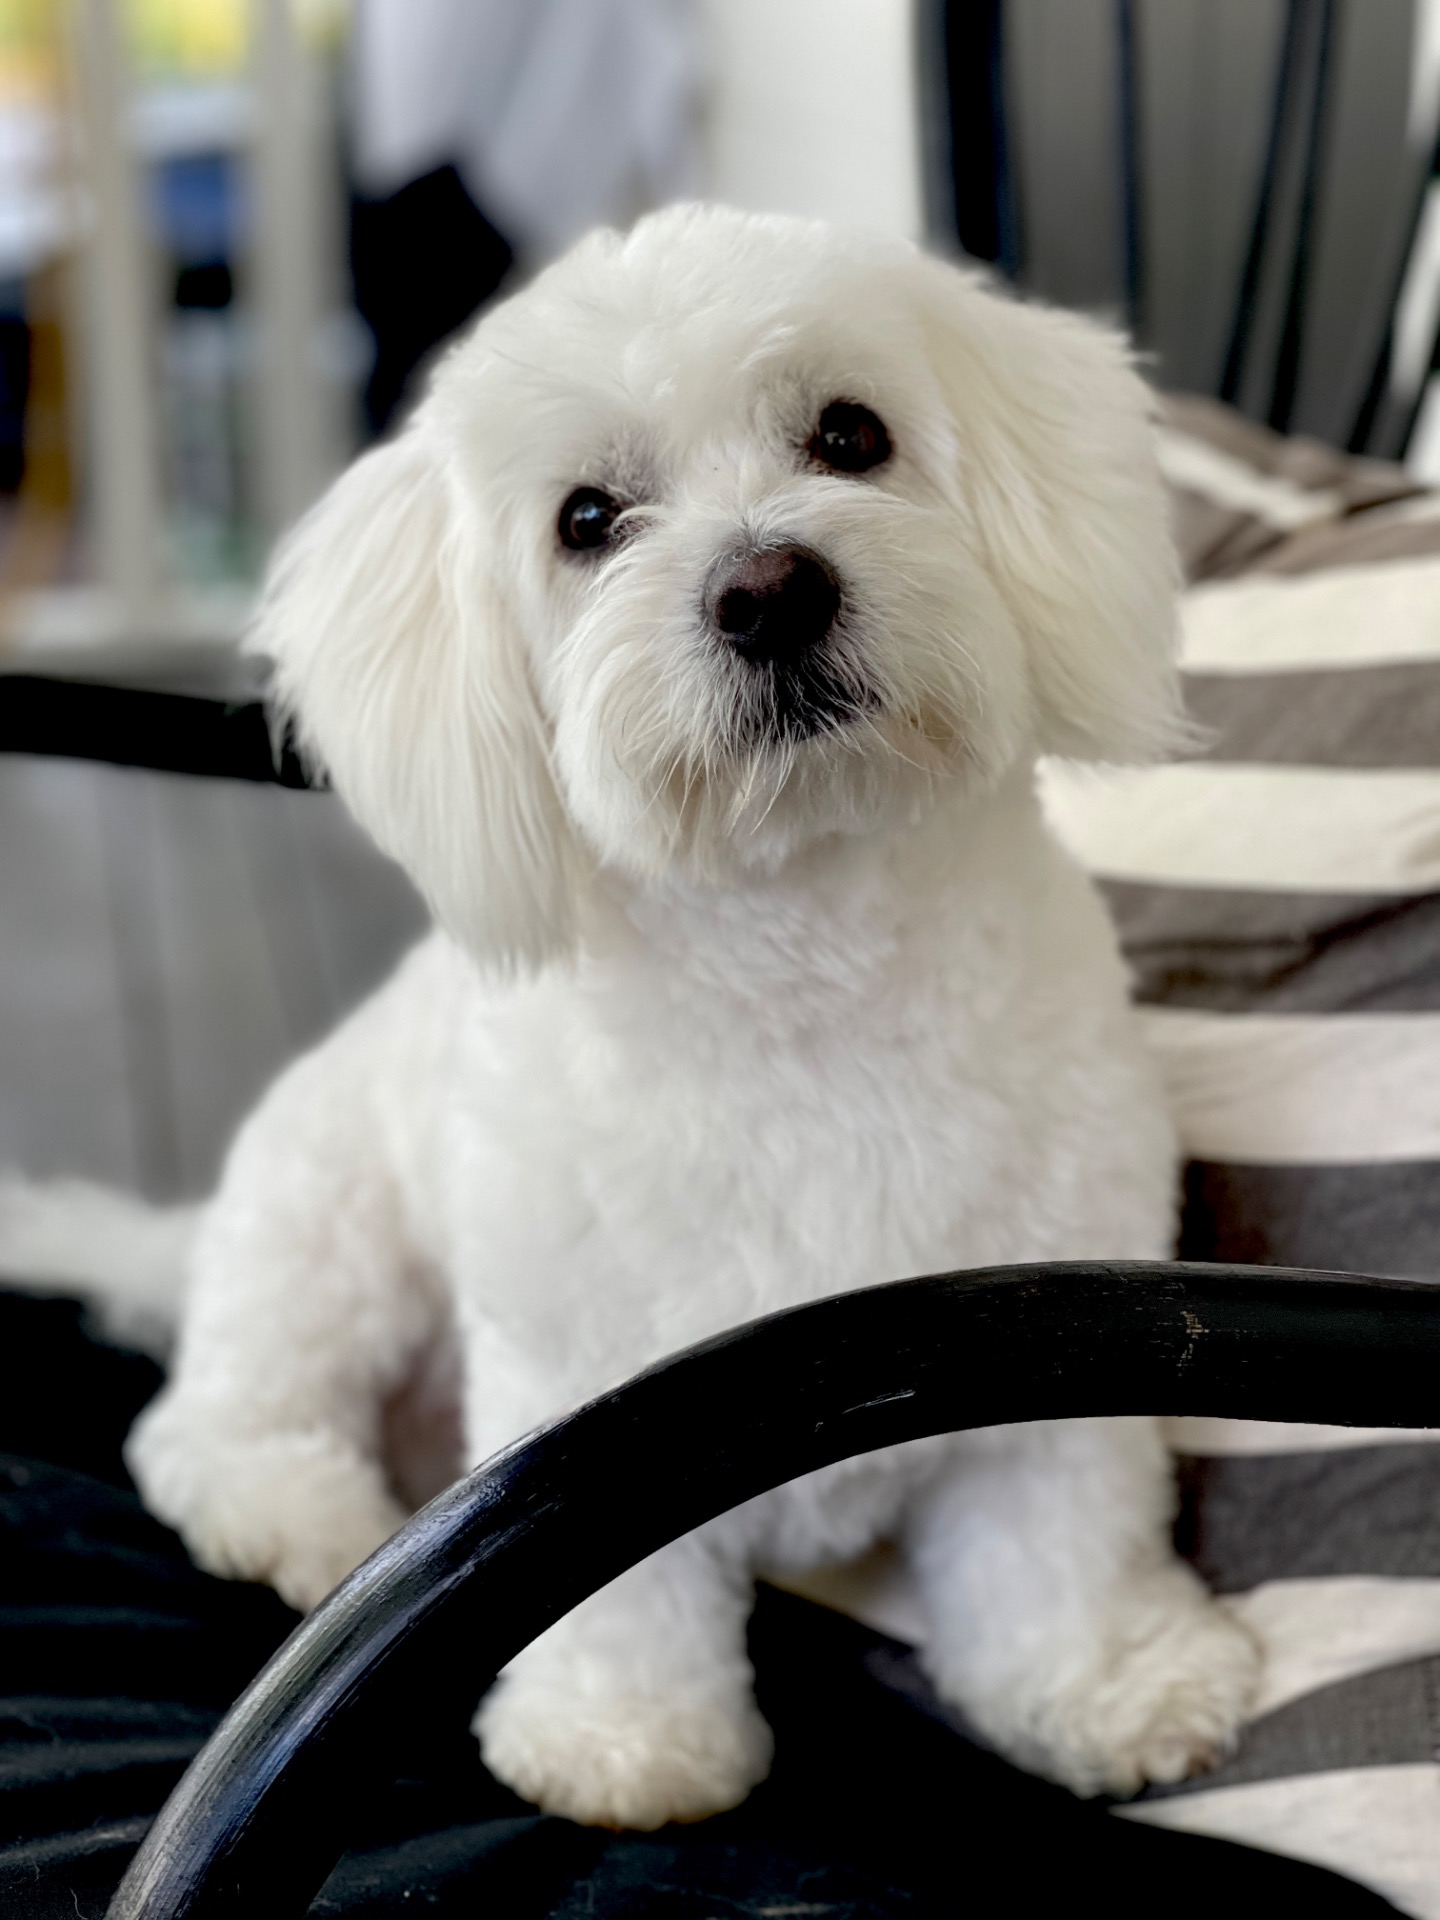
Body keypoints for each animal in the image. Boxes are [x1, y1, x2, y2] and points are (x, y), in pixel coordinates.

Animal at [3, 204, 1258, 1830]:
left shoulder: (1041, 1340)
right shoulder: (576, 1378)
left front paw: (1111, 1684)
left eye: (851, 434)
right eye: (588, 519)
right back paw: (299, 1517)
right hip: (324, 1238)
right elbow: (618, 1600)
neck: (805, 980)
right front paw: (622, 1741)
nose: (769, 588)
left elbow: (1061, 1547)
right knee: (213, 1424)